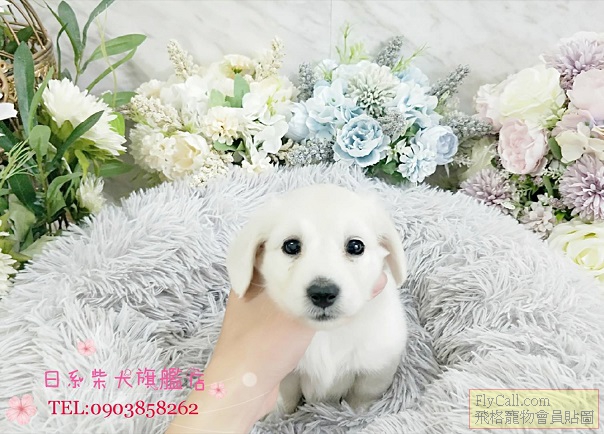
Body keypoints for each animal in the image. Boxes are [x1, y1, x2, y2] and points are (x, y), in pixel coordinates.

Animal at [226, 183, 408, 412]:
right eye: (291, 246)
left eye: (356, 246)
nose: (323, 294)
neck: (327, 335)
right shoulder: (285, 372)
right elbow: (287, 397)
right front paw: (279, 416)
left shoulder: (377, 367)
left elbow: (361, 398)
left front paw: (357, 414)